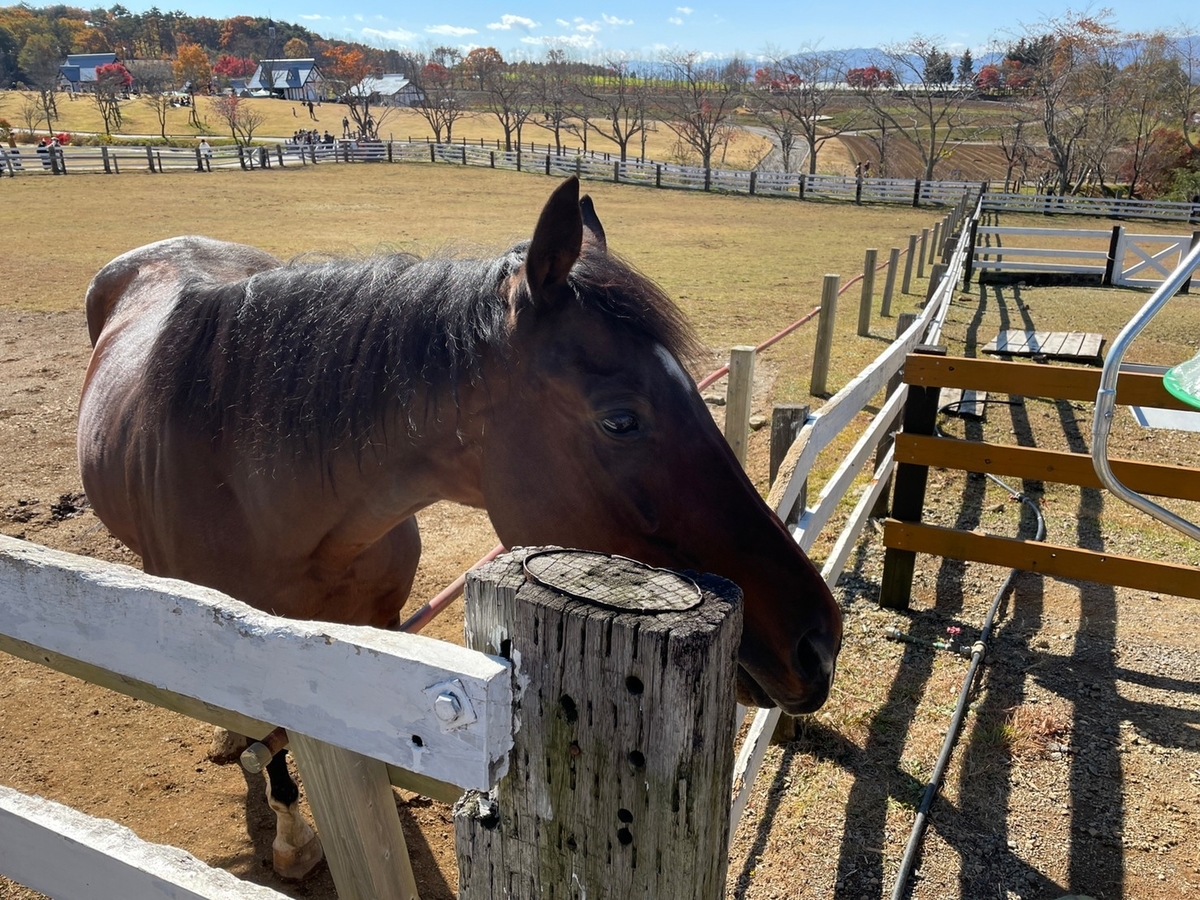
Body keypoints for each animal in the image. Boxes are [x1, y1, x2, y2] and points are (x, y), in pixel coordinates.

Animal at [79, 176, 840, 883]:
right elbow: (275, 741)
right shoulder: (254, 647)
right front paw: (295, 838)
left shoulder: (375, 624)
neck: (263, 497)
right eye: (621, 419)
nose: (819, 642)